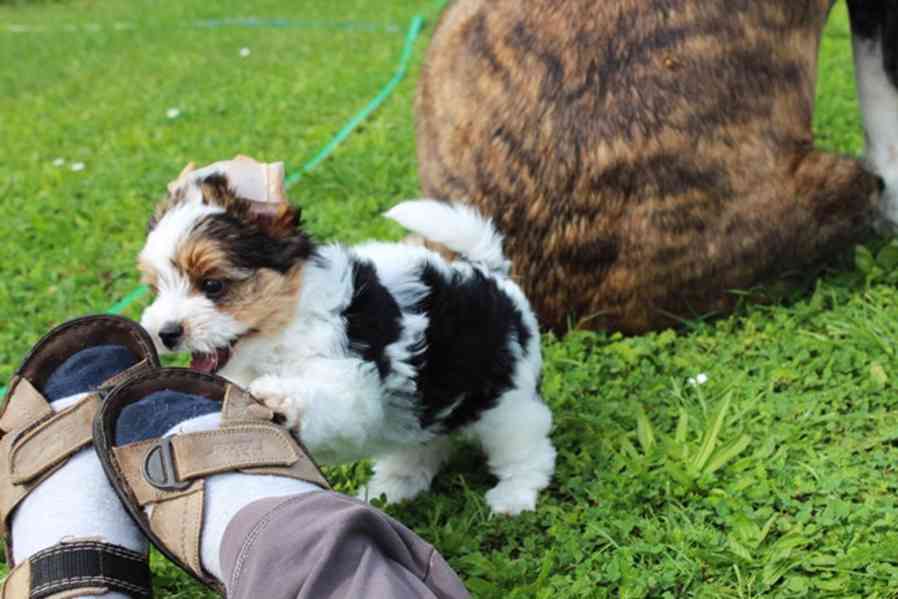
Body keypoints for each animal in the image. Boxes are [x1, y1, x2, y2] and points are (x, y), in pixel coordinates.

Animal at [137, 158, 552, 516]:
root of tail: (491, 273)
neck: (283, 328)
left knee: (525, 442)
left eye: (213, 285)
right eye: (156, 288)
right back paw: (393, 486)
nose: (166, 332)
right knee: (420, 441)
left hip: (506, 396)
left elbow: (329, 399)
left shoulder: (352, 383)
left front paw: (279, 396)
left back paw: (515, 494)